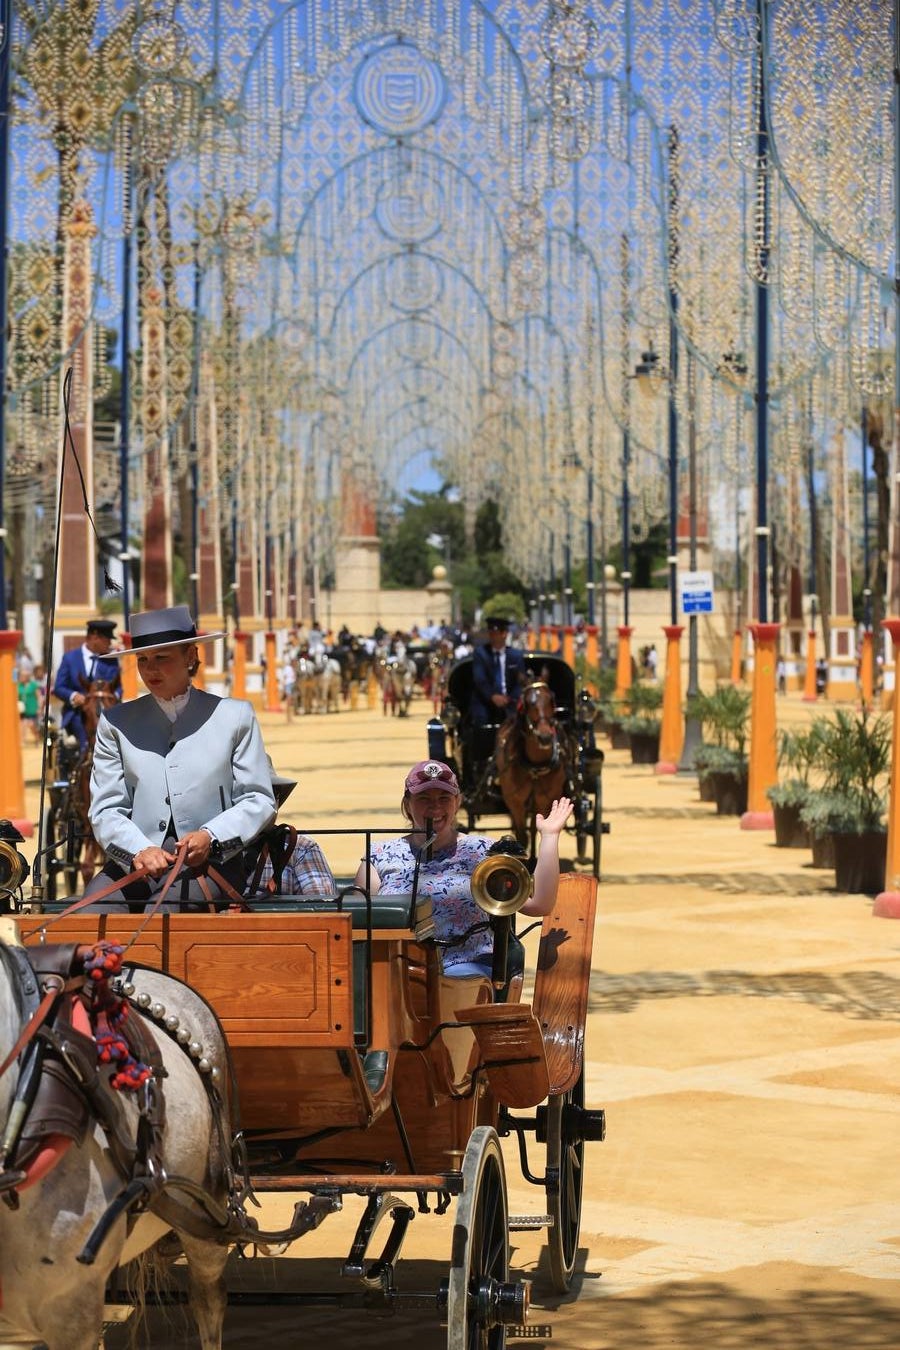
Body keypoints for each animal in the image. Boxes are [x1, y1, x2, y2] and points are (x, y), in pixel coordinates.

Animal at [493, 680, 569, 847]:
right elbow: (522, 837)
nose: (545, 737)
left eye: (551, 700)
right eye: (528, 703)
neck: (535, 766)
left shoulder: (546, 801)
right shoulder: (516, 803)